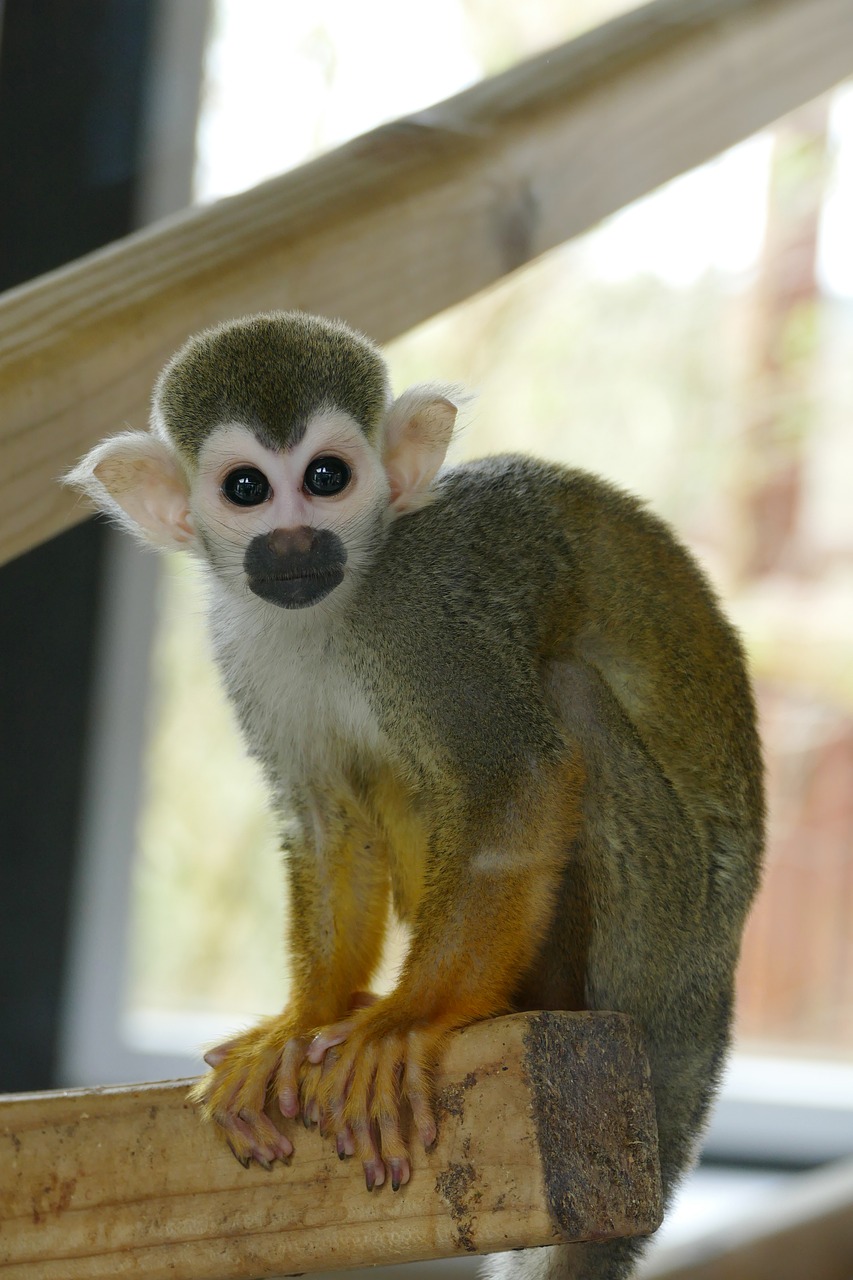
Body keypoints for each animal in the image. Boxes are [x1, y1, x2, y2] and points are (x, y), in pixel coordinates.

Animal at [64, 309, 758, 1280]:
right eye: (246, 488)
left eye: (326, 477)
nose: (293, 543)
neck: (340, 602)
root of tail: (710, 985)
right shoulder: (244, 645)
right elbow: (328, 821)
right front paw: (305, 1019)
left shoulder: (421, 615)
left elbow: (516, 776)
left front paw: (407, 1019)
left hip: (664, 925)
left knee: (562, 694)